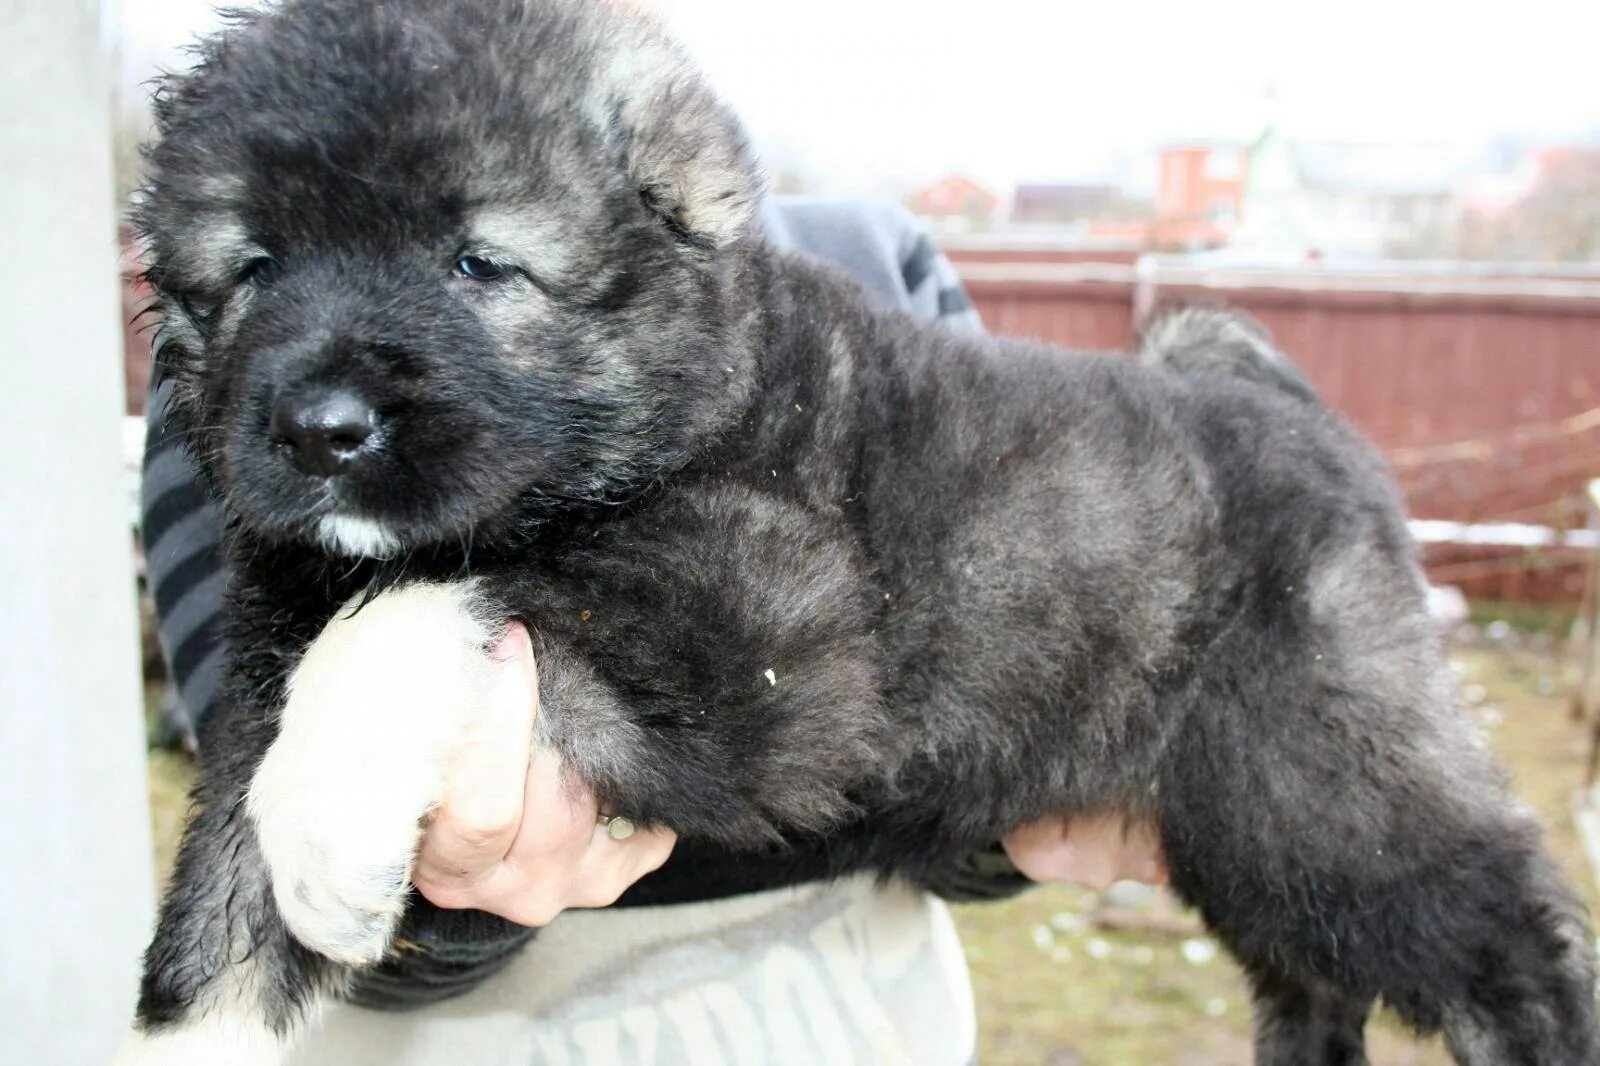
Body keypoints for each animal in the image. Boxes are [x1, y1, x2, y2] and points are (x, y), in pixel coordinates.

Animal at [128, 2, 1600, 1062]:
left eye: (478, 263)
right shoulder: (267, 668)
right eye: (253, 266)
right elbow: (217, 923)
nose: (318, 426)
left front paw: (325, 832)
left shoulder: (762, 637)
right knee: (1308, 975)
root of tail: (1294, 410)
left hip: (1325, 777)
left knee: (1504, 942)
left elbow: (439, 597)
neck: (694, 398)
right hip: (1247, 825)